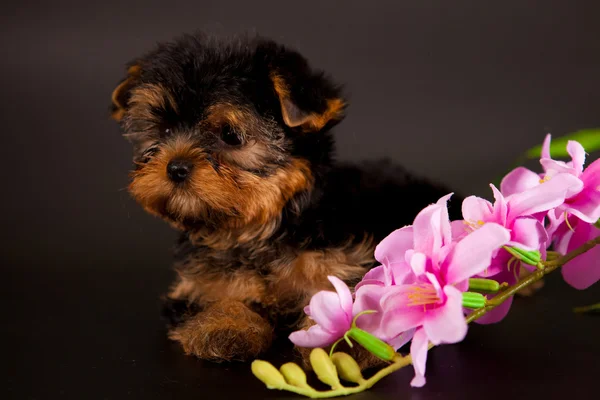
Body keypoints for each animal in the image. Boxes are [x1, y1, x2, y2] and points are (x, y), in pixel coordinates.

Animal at [110, 32, 462, 368]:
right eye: (165, 129)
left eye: (230, 135)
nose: (175, 167)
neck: (258, 230)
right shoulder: (195, 283)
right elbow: (214, 295)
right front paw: (225, 324)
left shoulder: (344, 261)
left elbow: (352, 297)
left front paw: (348, 337)